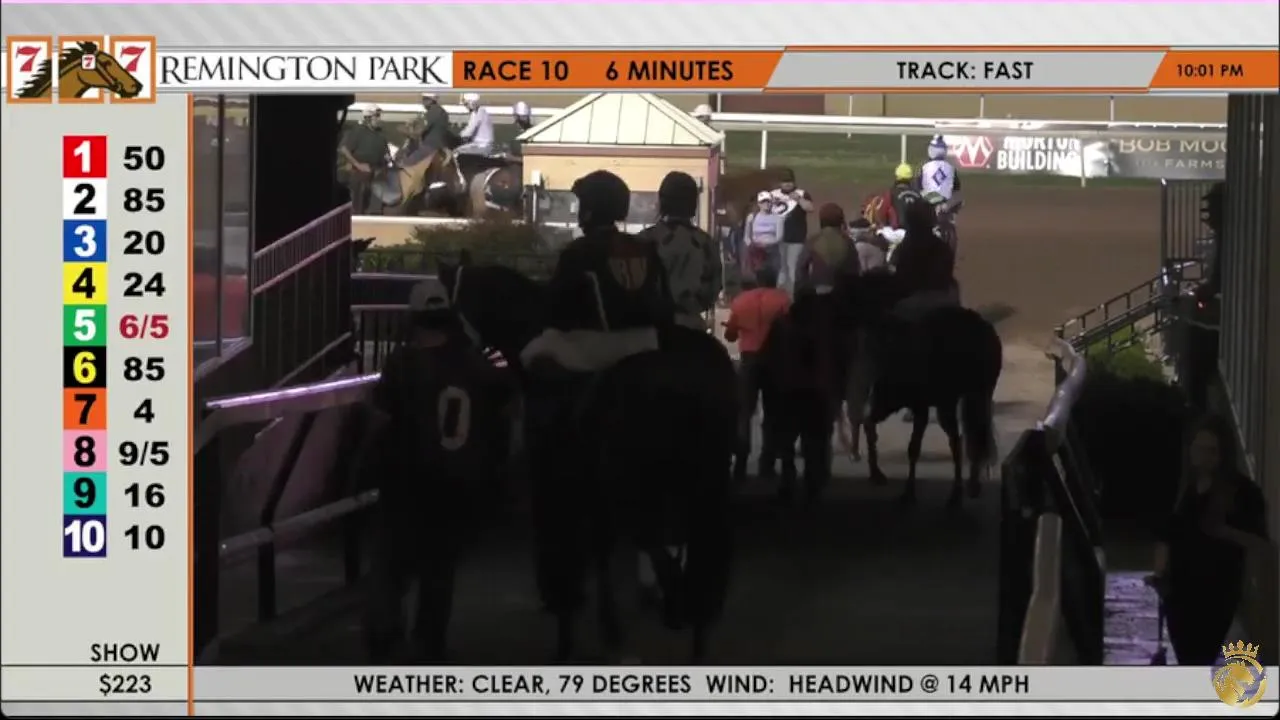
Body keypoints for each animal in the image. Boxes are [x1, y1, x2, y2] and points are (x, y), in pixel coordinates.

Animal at [436, 258, 737, 663]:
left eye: (450, 305)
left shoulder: (561, 479)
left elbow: (579, 548)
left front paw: (580, 628)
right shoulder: (593, 484)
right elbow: (602, 546)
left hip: (637, 483)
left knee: (656, 544)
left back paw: (674, 603)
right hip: (703, 482)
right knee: (699, 555)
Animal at [844, 271, 1003, 507]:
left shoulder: (921, 403)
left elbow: (916, 446)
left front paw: (909, 492)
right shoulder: (903, 401)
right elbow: (901, 440)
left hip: (974, 394)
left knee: (973, 432)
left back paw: (967, 486)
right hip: (967, 397)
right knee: (971, 433)